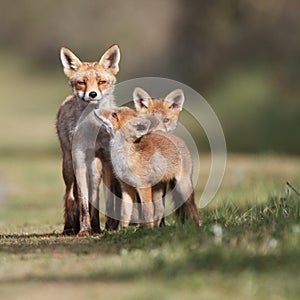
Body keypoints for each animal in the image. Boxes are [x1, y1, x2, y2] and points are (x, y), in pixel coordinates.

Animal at [56, 45, 120, 237]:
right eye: (82, 82)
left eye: (101, 82)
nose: (92, 94)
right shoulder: (79, 160)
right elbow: (83, 203)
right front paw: (84, 230)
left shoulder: (107, 160)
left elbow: (106, 199)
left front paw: (111, 227)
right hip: (68, 166)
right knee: (70, 195)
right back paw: (70, 227)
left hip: (96, 169)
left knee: (94, 196)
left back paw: (97, 226)